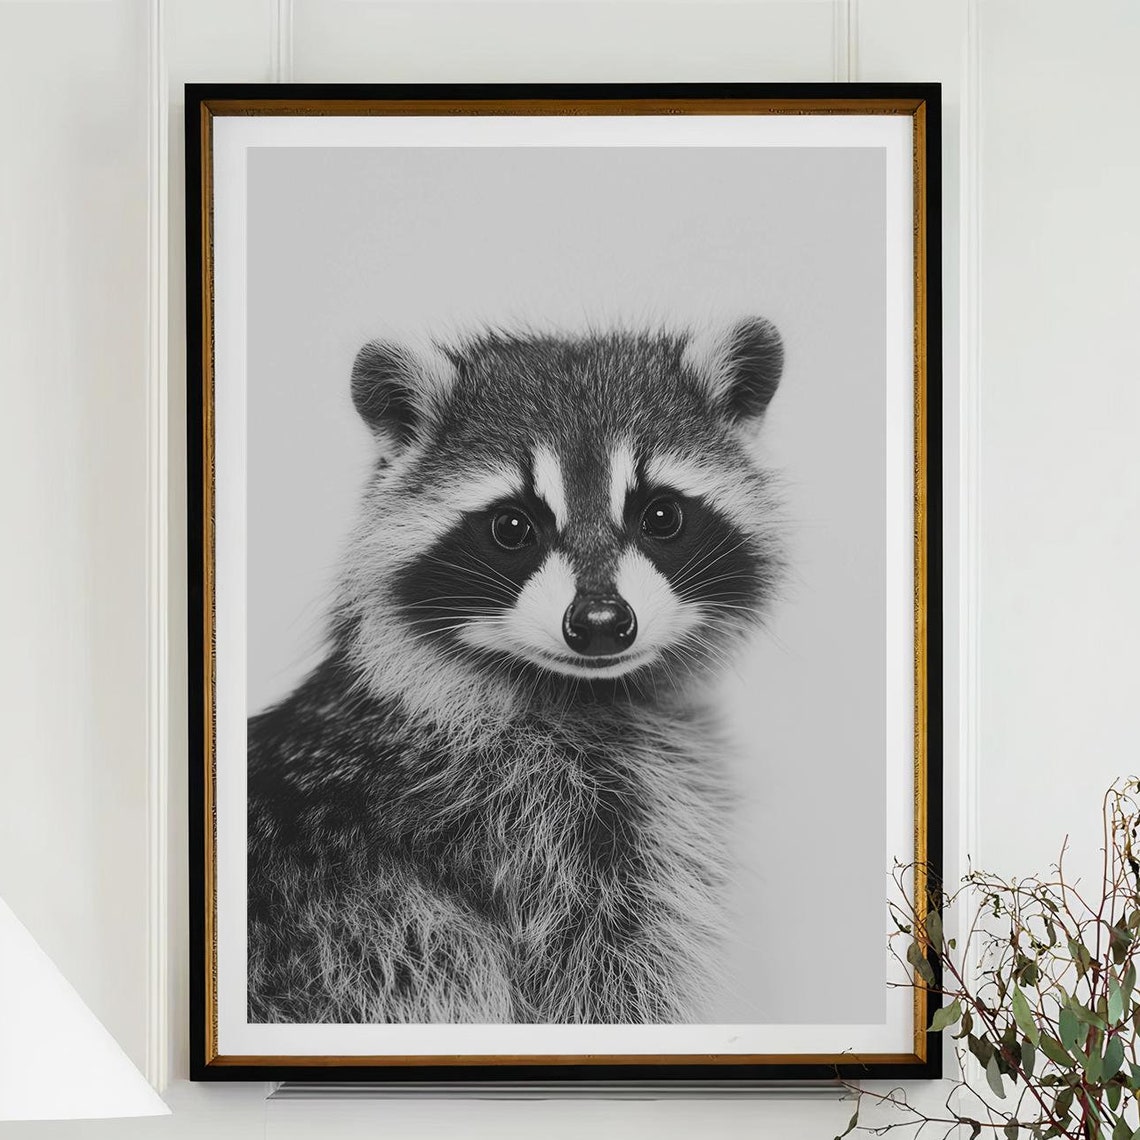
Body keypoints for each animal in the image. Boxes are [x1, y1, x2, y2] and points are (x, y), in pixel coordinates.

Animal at [247, 320, 785, 1025]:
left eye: (662, 515)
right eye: (511, 527)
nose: (601, 622)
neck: (587, 693)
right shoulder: (540, 840)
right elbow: (599, 992)